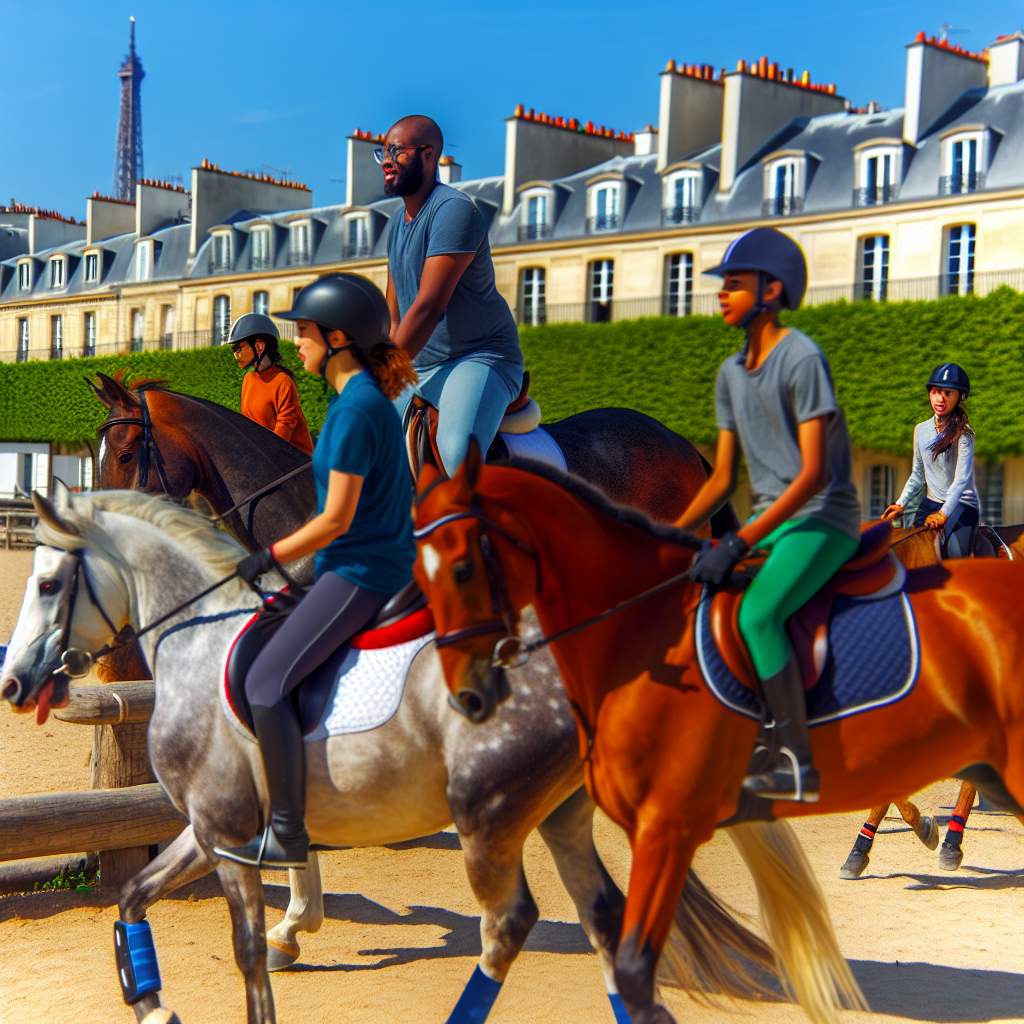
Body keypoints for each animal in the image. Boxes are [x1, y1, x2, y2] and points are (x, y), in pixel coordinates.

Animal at [2, 489, 774, 1024]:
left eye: (47, 585)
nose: (12, 683)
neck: (197, 636)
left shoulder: (224, 836)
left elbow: (247, 953)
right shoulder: (210, 829)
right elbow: (133, 895)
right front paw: (154, 1005)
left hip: (488, 817)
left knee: (508, 925)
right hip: (562, 818)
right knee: (606, 927)